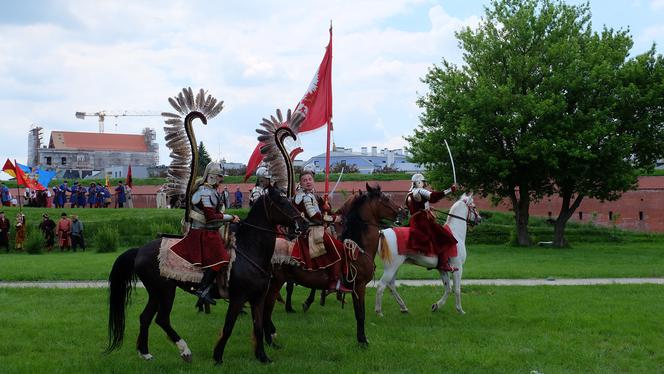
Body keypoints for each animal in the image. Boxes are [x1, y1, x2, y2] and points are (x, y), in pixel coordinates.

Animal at [264, 183, 400, 346]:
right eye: (385, 198)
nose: (403, 211)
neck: (359, 246)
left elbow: (358, 312)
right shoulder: (359, 286)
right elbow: (360, 314)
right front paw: (363, 341)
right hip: (275, 281)